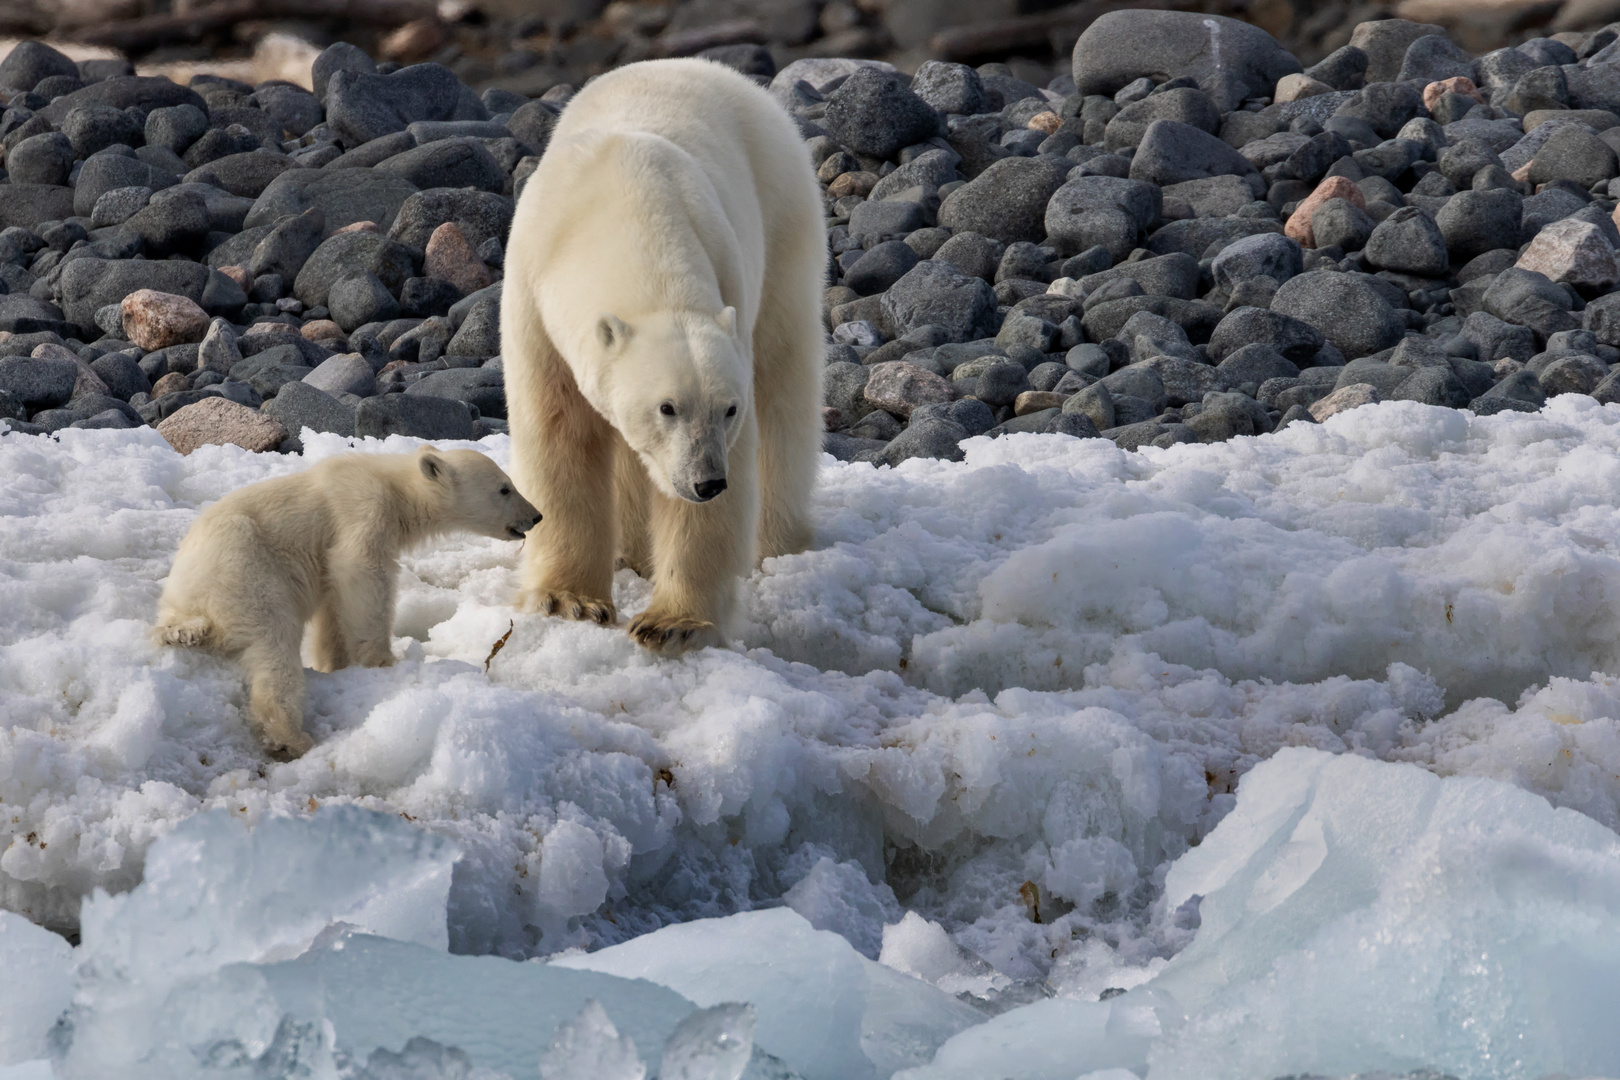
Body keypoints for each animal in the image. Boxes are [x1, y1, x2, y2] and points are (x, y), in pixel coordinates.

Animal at [502, 59, 822, 650]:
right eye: (666, 407)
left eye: (728, 409)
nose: (706, 481)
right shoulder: (532, 299)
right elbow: (560, 433)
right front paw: (568, 601)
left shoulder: (728, 284)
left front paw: (672, 623)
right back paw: (630, 550)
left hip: (785, 219)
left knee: (784, 384)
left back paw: (777, 542)